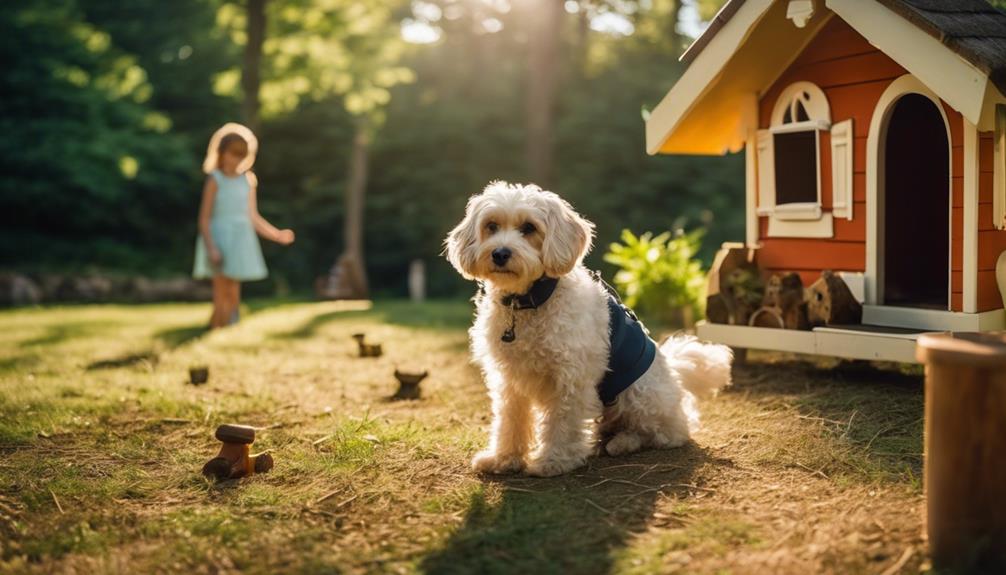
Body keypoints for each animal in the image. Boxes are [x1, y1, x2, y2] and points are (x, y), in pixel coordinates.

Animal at [444, 182, 736, 476]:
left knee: (666, 432)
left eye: (528, 227)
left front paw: (554, 460)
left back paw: (623, 443)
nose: (500, 253)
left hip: (639, 394)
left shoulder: (570, 377)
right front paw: (503, 458)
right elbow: (510, 420)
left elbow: (562, 422)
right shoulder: (509, 379)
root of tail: (675, 375)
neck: (527, 302)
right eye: (491, 226)